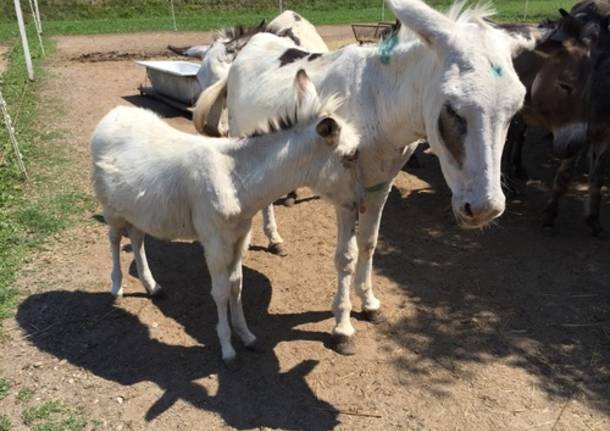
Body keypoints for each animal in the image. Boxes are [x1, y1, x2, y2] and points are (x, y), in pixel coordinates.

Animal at [91, 71, 360, 368]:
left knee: (137, 239)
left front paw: (247, 336)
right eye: (351, 156)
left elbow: (237, 286)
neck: (235, 178)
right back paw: (116, 287)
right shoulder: (215, 243)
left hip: (138, 210)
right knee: (115, 240)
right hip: (111, 208)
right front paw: (227, 348)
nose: (359, 205)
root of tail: (114, 114)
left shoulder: (238, 237)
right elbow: (219, 291)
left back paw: (153, 286)